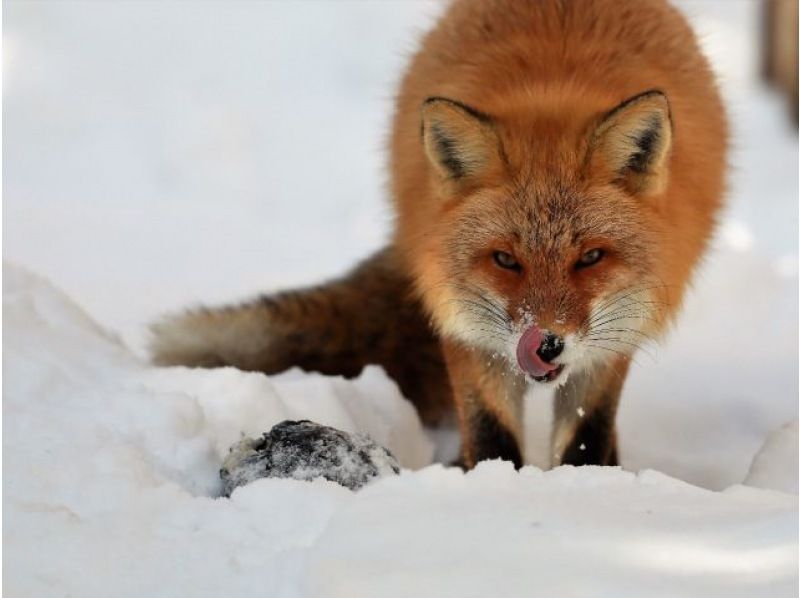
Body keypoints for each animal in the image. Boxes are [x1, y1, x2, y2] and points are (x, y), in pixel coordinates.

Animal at [148, 0, 724, 468]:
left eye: (591, 258)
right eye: (505, 260)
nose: (546, 344)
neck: (552, 91)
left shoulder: (617, 333)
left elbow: (587, 434)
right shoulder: (464, 321)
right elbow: (491, 434)